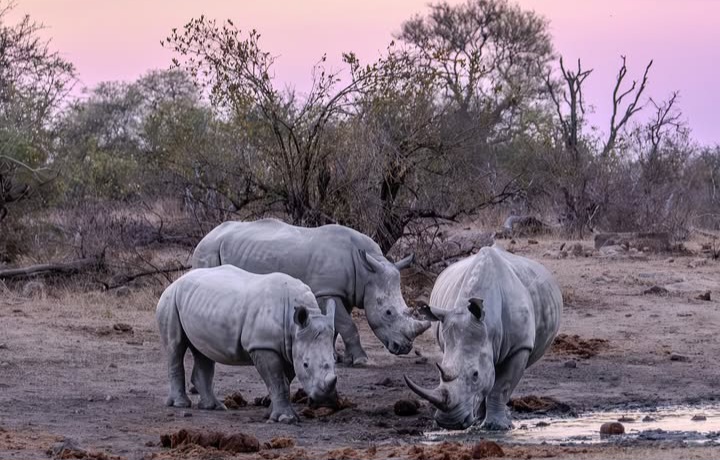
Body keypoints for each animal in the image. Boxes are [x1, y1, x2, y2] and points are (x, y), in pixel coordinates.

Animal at [156, 265, 338, 423]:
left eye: (335, 360)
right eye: (306, 364)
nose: (325, 397)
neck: (294, 325)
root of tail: (176, 281)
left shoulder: (291, 347)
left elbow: (283, 381)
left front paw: (270, 415)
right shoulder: (263, 345)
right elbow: (278, 381)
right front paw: (286, 419)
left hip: (198, 304)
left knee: (203, 351)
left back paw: (213, 407)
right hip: (170, 300)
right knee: (176, 346)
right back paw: (181, 404)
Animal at [191, 219, 430, 365]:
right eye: (388, 312)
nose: (404, 348)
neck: (367, 272)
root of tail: (207, 235)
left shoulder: (344, 292)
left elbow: (337, 327)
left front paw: (337, 358)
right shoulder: (327, 291)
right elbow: (348, 326)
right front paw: (361, 360)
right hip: (207, 250)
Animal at [405, 246, 562, 430]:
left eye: (475, 375)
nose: (449, 422)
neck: (488, 326)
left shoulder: (520, 346)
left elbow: (502, 386)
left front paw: (497, 426)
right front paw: (482, 422)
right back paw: (480, 419)